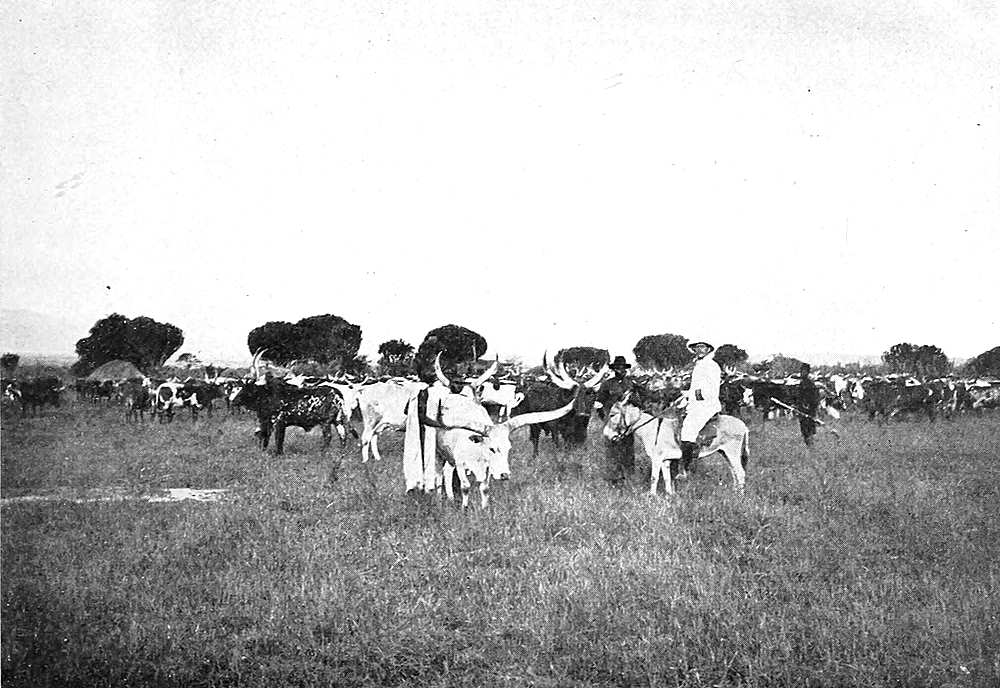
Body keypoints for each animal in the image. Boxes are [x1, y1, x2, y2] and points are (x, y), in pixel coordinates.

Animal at [602, 392, 749, 497]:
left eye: (612, 415)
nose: (606, 435)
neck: (652, 429)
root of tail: (744, 425)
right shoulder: (665, 460)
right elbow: (667, 478)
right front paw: (669, 496)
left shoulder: (656, 459)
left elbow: (654, 478)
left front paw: (651, 497)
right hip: (725, 452)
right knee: (734, 472)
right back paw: (734, 493)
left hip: (732, 452)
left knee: (740, 472)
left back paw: (740, 498)